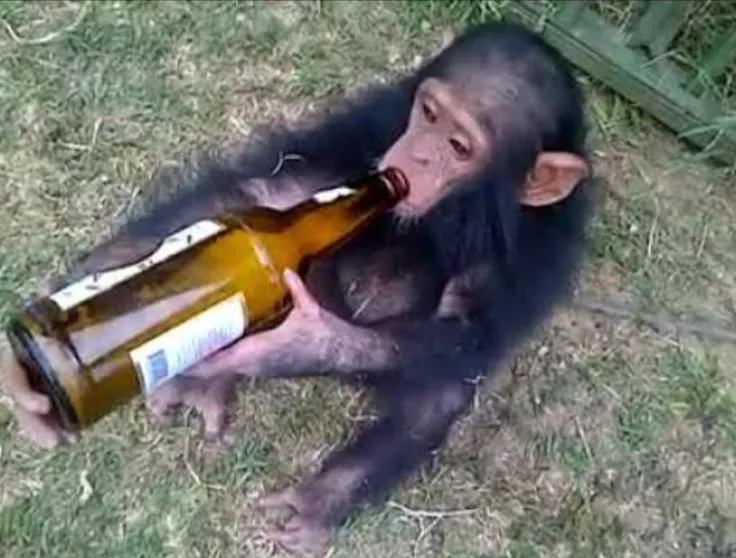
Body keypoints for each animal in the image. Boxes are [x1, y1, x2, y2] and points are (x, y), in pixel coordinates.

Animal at [2, 22, 595, 554]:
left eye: (458, 145)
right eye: (428, 115)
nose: (417, 154)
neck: (457, 212)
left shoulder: (537, 253)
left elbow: (463, 336)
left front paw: (303, 342)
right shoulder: (374, 123)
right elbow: (275, 187)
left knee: (439, 387)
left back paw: (321, 497)